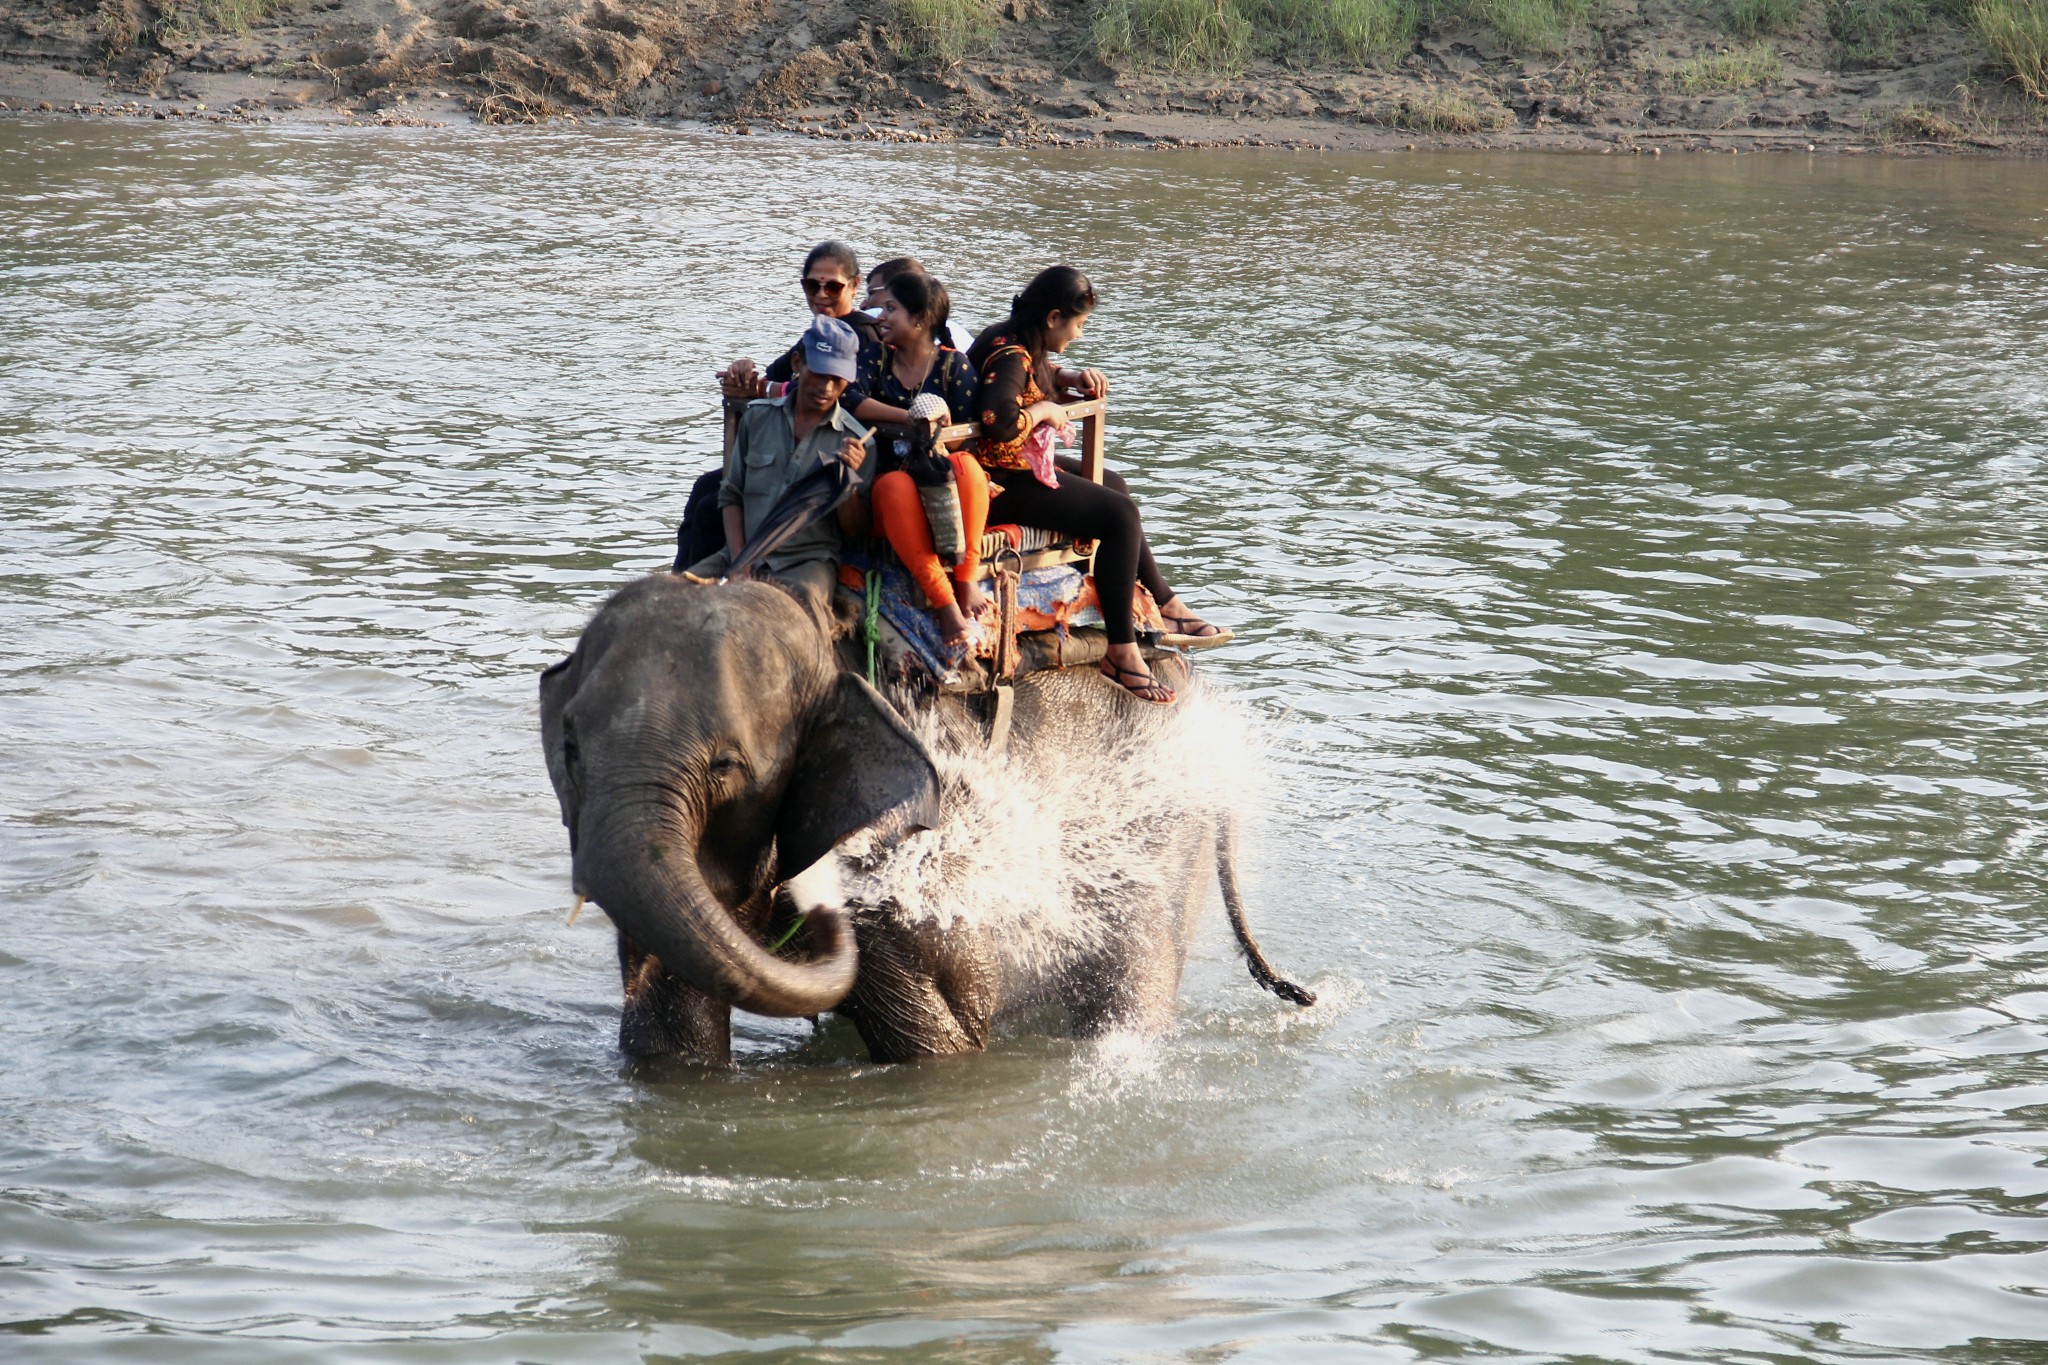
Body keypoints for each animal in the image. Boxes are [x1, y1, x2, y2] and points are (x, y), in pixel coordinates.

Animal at [540, 573, 1310, 1064]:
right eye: (570, 750)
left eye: (725, 765)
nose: (818, 909)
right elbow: (672, 1035)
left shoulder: (914, 870)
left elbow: (943, 1042)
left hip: (1159, 837)